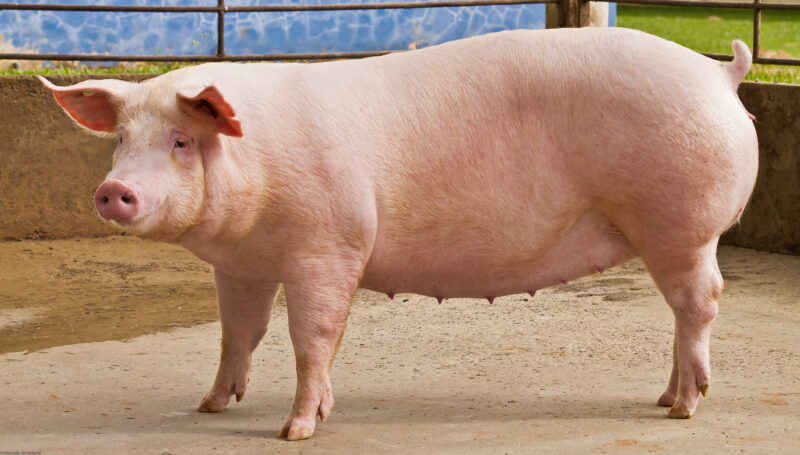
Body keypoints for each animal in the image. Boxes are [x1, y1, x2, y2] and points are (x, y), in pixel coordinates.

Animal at [39, 27, 758, 440]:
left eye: (182, 140)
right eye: (122, 139)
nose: (114, 189)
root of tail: (719, 73)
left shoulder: (330, 244)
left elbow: (313, 336)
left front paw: (296, 430)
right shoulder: (242, 262)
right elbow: (239, 332)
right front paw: (210, 406)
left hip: (680, 222)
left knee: (702, 302)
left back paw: (684, 408)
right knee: (683, 311)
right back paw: (664, 398)